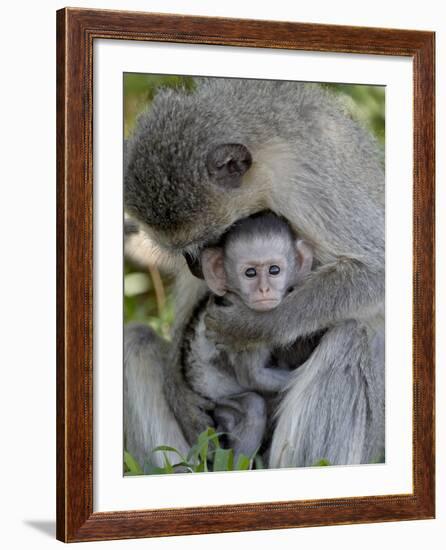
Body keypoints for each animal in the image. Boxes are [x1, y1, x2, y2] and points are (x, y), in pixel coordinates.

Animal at [179, 213, 312, 460]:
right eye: (250, 273)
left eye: (274, 270)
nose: (264, 290)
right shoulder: (243, 328)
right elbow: (253, 377)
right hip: (219, 401)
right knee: (253, 406)